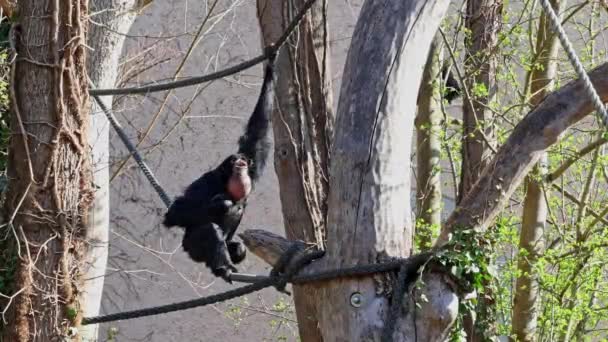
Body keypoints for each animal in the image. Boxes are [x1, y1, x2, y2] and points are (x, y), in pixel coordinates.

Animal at [162, 50, 276, 280]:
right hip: (191, 247)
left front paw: (270, 68)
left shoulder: (253, 164)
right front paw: (222, 203)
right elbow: (175, 213)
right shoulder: (208, 181)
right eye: (233, 160)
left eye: (243, 159)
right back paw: (222, 266)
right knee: (209, 231)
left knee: (239, 249)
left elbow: (258, 131)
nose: (240, 160)